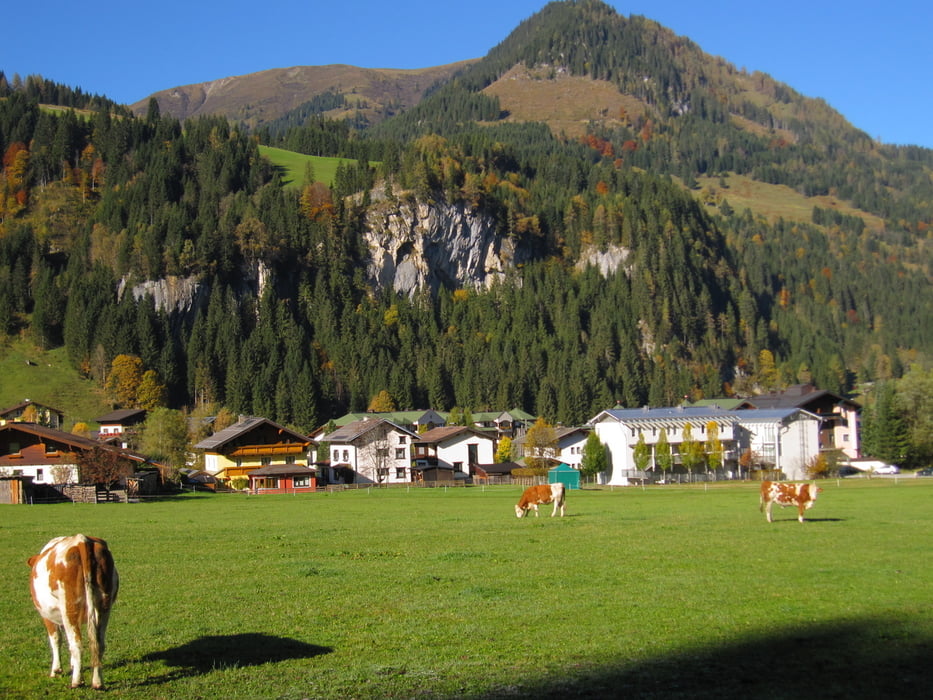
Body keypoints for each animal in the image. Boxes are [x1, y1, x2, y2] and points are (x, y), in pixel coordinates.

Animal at [28, 536, 119, 688]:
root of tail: (82, 540)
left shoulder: (47, 616)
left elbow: (56, 639)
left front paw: (56, 670)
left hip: (69, 607)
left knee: (77, 645)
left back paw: (77, 681)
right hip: (104, 607)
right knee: (98, 644)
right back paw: (97, 682)